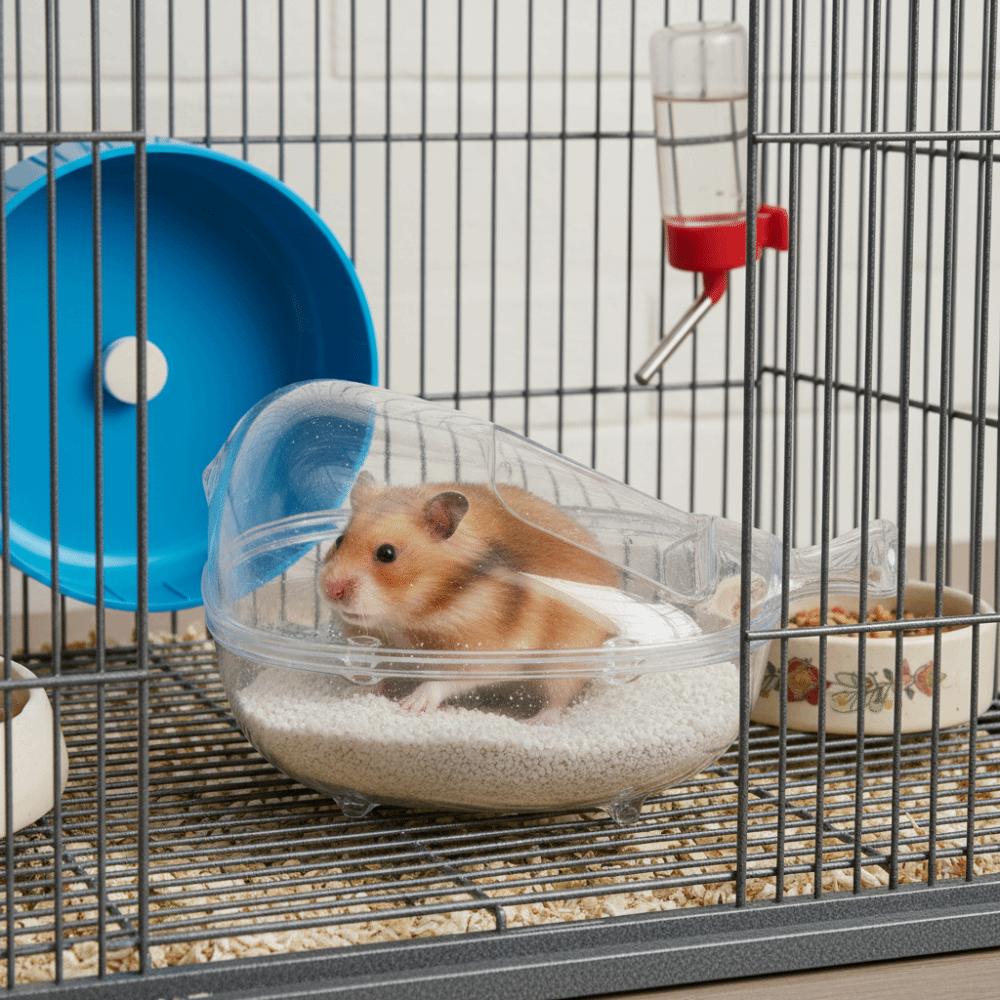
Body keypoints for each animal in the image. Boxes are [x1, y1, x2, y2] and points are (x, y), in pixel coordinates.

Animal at [319, 471, 620, 723]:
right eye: (339, 540)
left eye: (387, 554)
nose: (332, 590)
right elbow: (373, 674)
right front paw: (352, 693)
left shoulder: (487, 652)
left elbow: (445, 678)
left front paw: (411, 704)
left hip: (567, 658)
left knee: (559, 697)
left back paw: (535, 722)